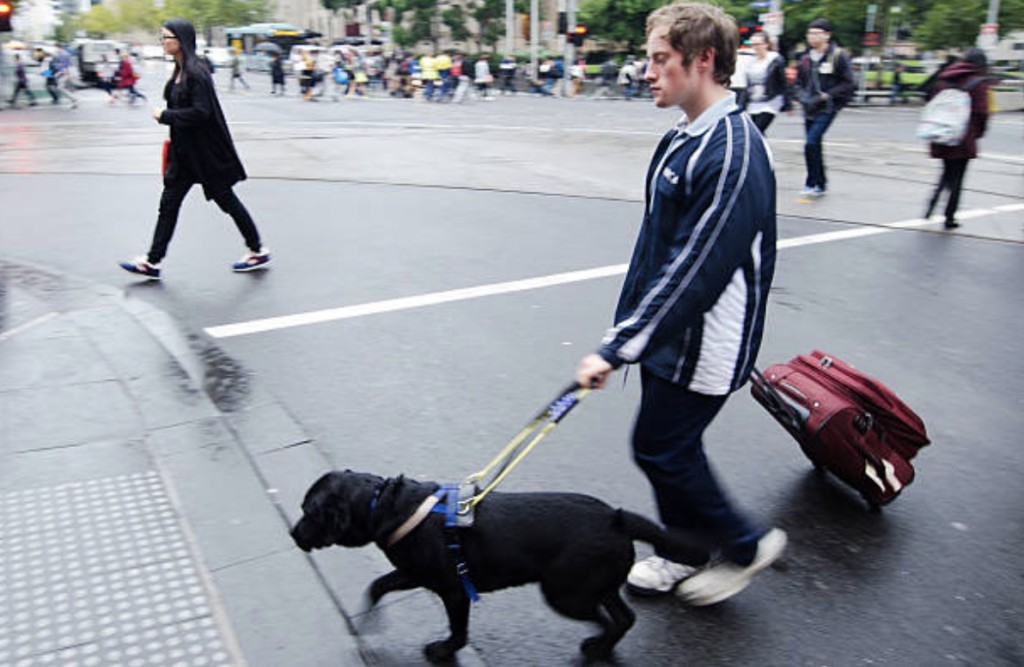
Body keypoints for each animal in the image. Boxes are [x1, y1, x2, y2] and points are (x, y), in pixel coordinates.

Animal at [292, 469, 700, 663]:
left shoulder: (453, 591)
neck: (387, 506)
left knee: (608, 620)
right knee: (623, 617)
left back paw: (596, 646)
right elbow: (378, 585)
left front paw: (444, 651)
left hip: (565, 594)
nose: (292, 533)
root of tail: (617, 518)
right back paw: (601, 647)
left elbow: (458, 630)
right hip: (593, 586)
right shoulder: (414, 573)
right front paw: (365, 621)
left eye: (308, 511)